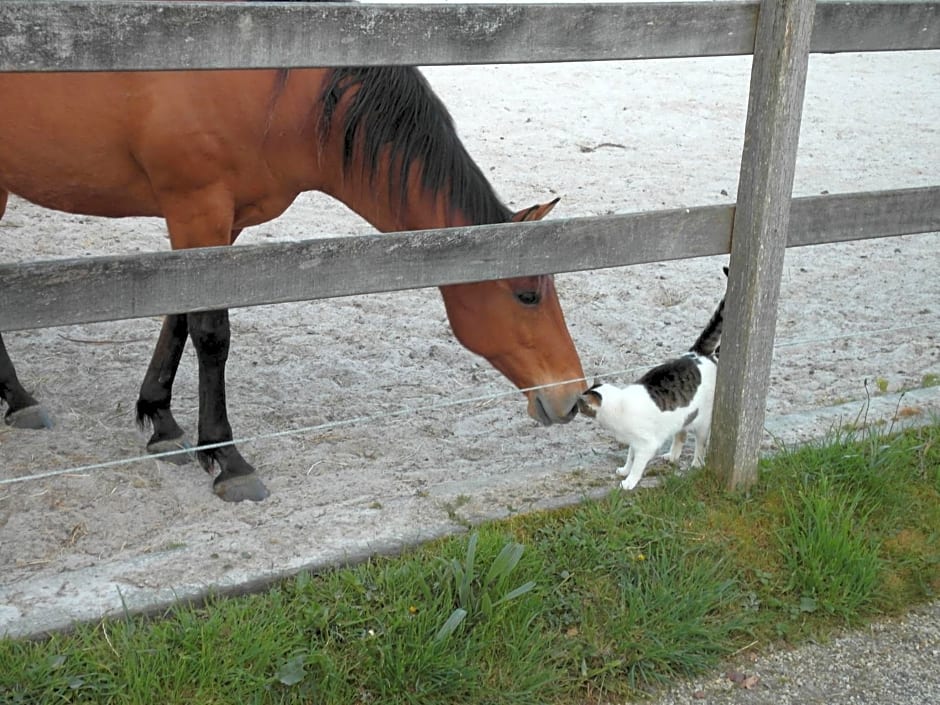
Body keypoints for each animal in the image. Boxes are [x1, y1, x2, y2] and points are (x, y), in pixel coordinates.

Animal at [0, 62, 588, 500]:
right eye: (528, 296)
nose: (573, 397)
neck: (283, 97)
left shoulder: (217, 226)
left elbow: (180, 316)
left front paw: (162, 420)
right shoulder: (197, 210)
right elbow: (211, 333)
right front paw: (227, 458)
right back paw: (20, 398)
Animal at [576, 270, 732, 490]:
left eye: (580, 405)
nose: (575, 406)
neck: (618, 408)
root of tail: (696, 354)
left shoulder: (646, 444)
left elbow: (637, 465)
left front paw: (629, 482)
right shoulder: (634, 442)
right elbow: (630, 457)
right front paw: (624, 470)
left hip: (702, 420)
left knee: (700, 443)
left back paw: (696, 464)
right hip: (682, 418)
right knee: (680, 434)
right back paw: (672, 456)